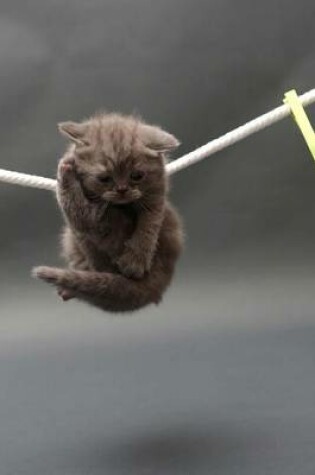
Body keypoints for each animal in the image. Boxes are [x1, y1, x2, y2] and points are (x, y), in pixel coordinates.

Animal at [32, 111, 184, 312]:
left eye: (136, 176)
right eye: (104, 178)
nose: (122, 189)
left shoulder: (157, 194)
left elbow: (149, 224)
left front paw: (135, 261)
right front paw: (67, 165)